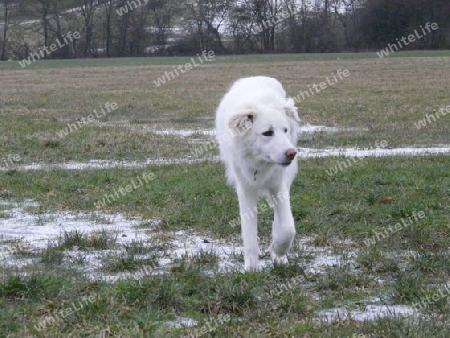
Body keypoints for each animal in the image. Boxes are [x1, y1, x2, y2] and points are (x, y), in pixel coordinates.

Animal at [216, 76, 300, 270]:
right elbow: (249, 233)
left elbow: (287, 227)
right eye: (267, 133)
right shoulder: (245, 189)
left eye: (285, 130)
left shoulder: (278, 185)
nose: (291, 153)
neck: (260, 163)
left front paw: (278, 251)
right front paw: (252, 269)